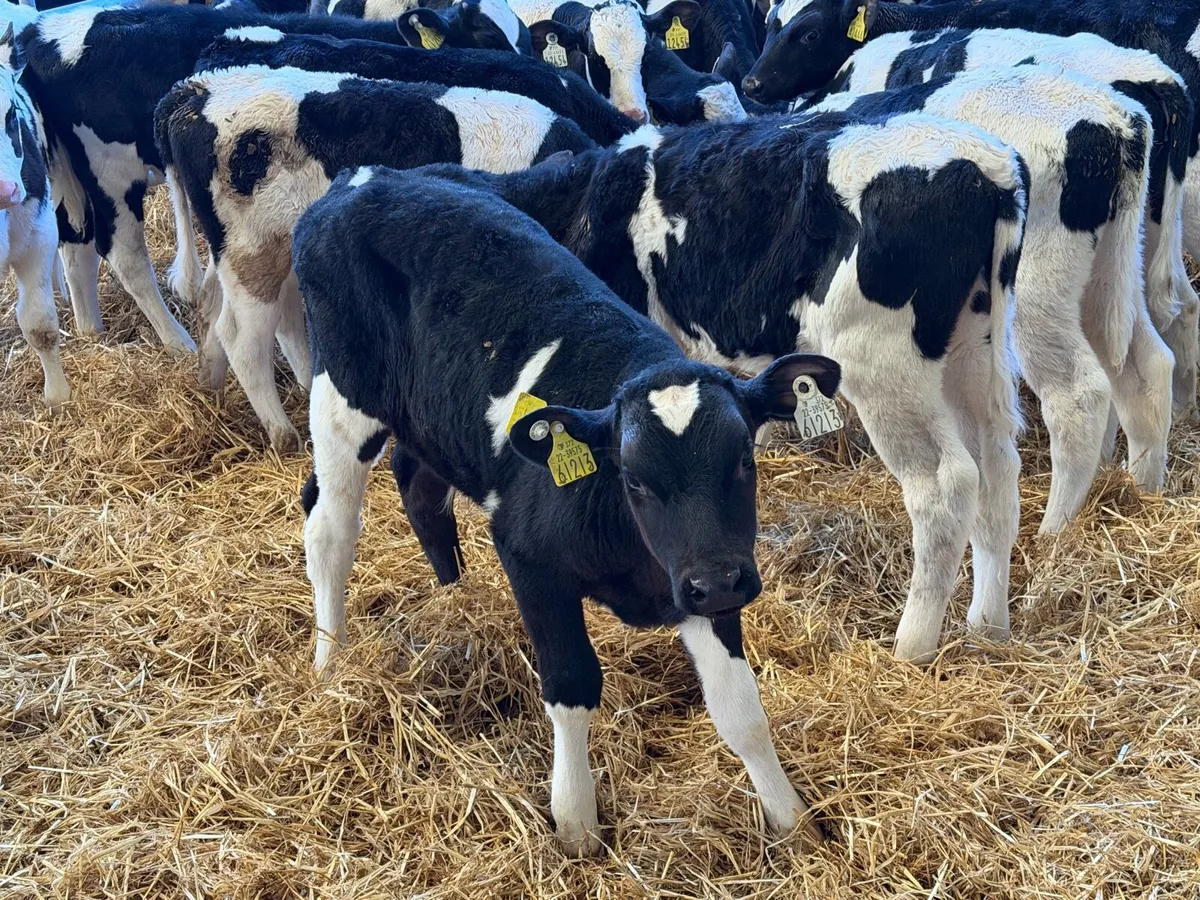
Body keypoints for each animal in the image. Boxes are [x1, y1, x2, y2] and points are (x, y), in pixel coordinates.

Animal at [155, 64, 595, 453]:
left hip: (238, 251)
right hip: (254, 248)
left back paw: (212, 385)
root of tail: (193, 91)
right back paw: (286, 437)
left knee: (214, 305)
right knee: (241, 338)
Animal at [294, 163, 838, 855]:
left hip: (433, 420)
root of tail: (364, 175)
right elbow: (573, 685)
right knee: (329, 526)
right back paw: (329, 660)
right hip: (342, 398)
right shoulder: (530, 558)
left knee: (418, 487)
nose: (717, 581)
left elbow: (740, 709)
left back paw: (455, 598)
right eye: (633, 478)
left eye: (745, 457)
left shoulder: (703, 578)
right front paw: (576, 821)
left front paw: (792, 821)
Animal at [400, 110, 1030, 664]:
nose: (449, 581)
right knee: (998, 466)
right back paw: (988, 625)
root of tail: (989, 165)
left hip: (884, 363)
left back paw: (911, 646)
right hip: (975, 348)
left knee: (946, 483)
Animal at [803, 66, 1173, 533]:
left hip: (1035, 295)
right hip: (1111, 275)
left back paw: (1053, 529)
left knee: (1079, 394)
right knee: (1146, 363)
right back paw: (1145, 490)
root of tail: (1119, 117)